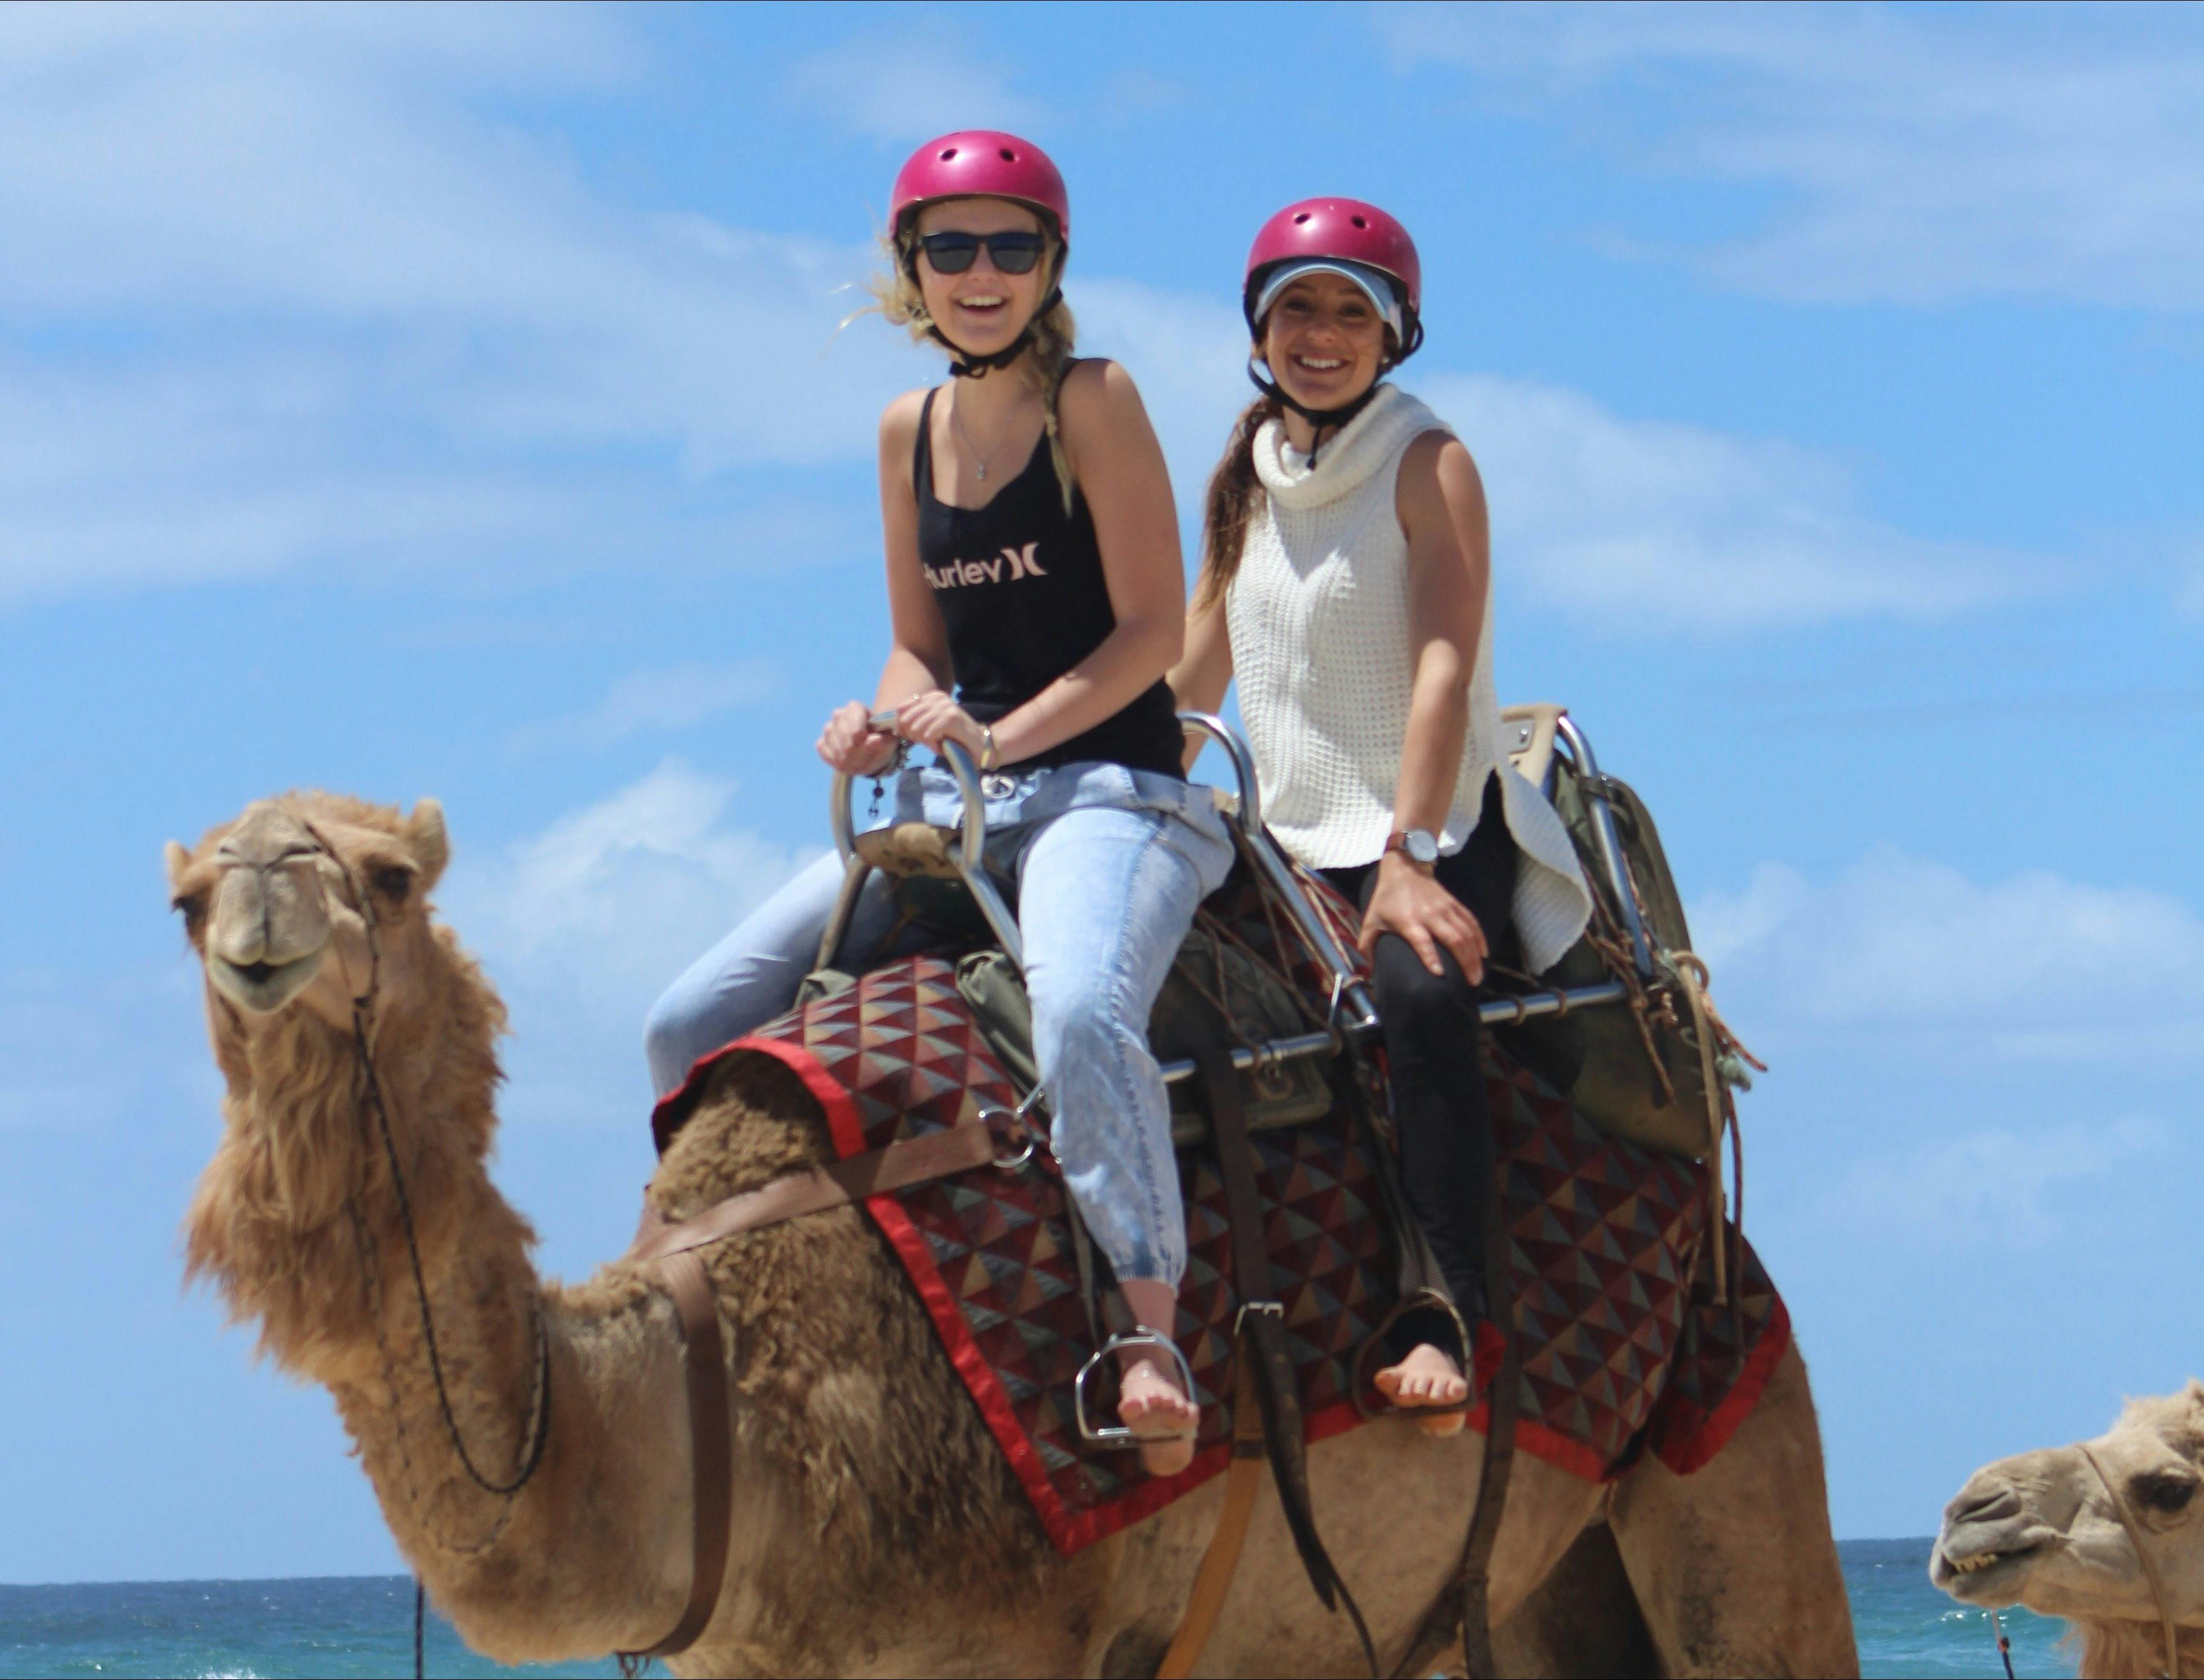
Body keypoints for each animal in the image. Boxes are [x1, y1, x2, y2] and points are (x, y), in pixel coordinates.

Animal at [167, 790, 1857, 1677]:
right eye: (186, 897)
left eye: (387, 876)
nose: (255, 920)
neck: (724, 1407)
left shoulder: (1023, 1633)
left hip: (1733, 1421)